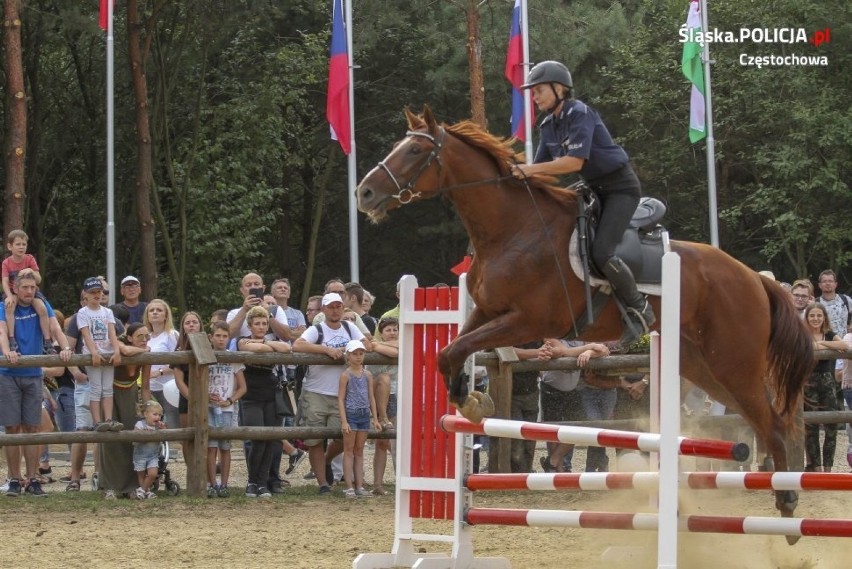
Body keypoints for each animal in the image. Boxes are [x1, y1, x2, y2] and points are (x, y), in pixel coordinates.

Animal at [356, 107, 816, 528]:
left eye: (415, 150)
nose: (365, 194)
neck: (513, 228)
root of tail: (753, 278)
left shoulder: (528, 321)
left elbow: (458, 349)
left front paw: (470, 400)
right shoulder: (487, 312)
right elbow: (450, 351)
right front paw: (469, 401)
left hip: (734, 362)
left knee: (776, 423)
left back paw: (789, 501)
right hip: (702, 366)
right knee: (763, 420)